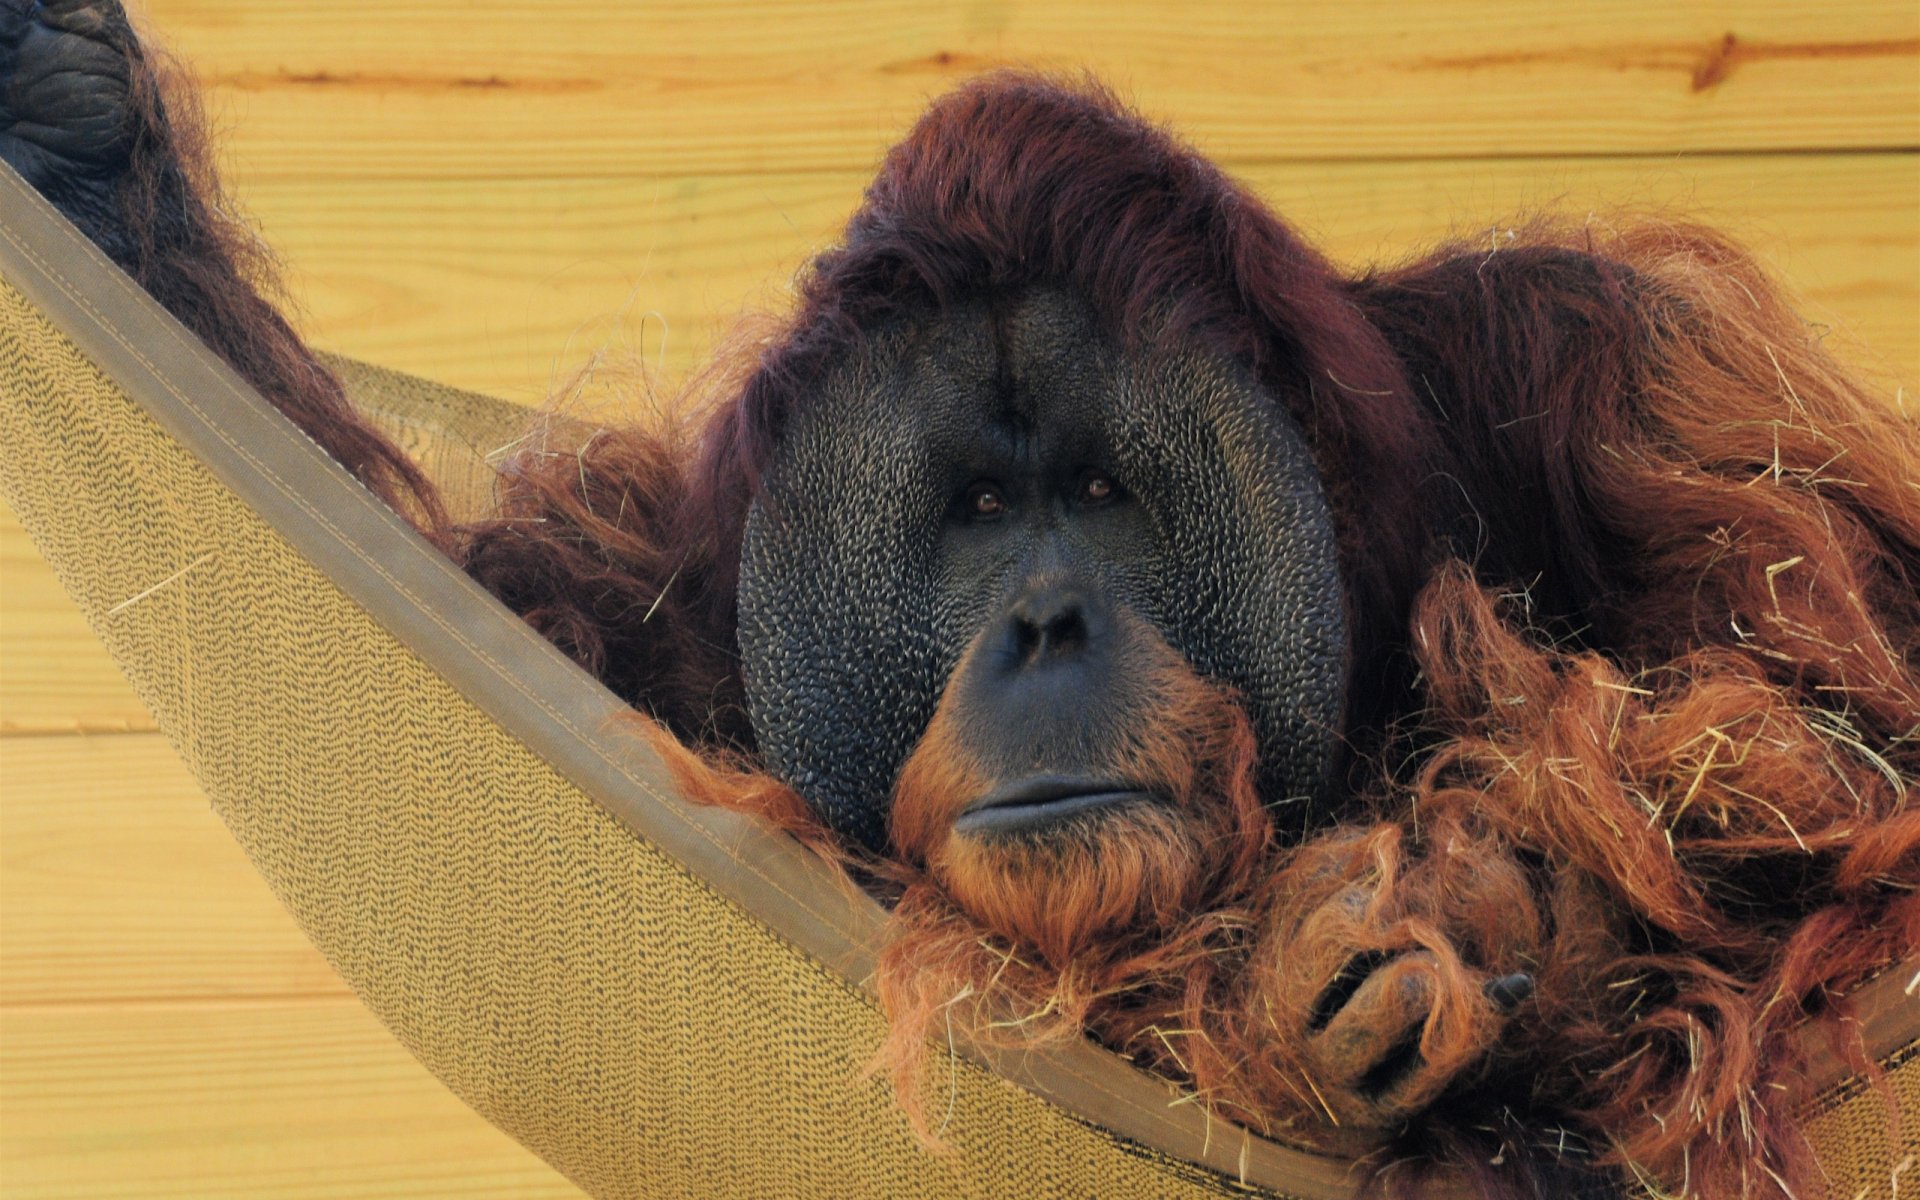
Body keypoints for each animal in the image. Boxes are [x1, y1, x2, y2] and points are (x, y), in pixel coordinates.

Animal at [6, 4, 1917, 1196]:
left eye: (1102, 497)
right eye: (983, 511)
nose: (1046, 623)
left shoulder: (1618, 372)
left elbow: (1825, 757)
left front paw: (1467, 914)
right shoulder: (676, 596)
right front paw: (85, 146)